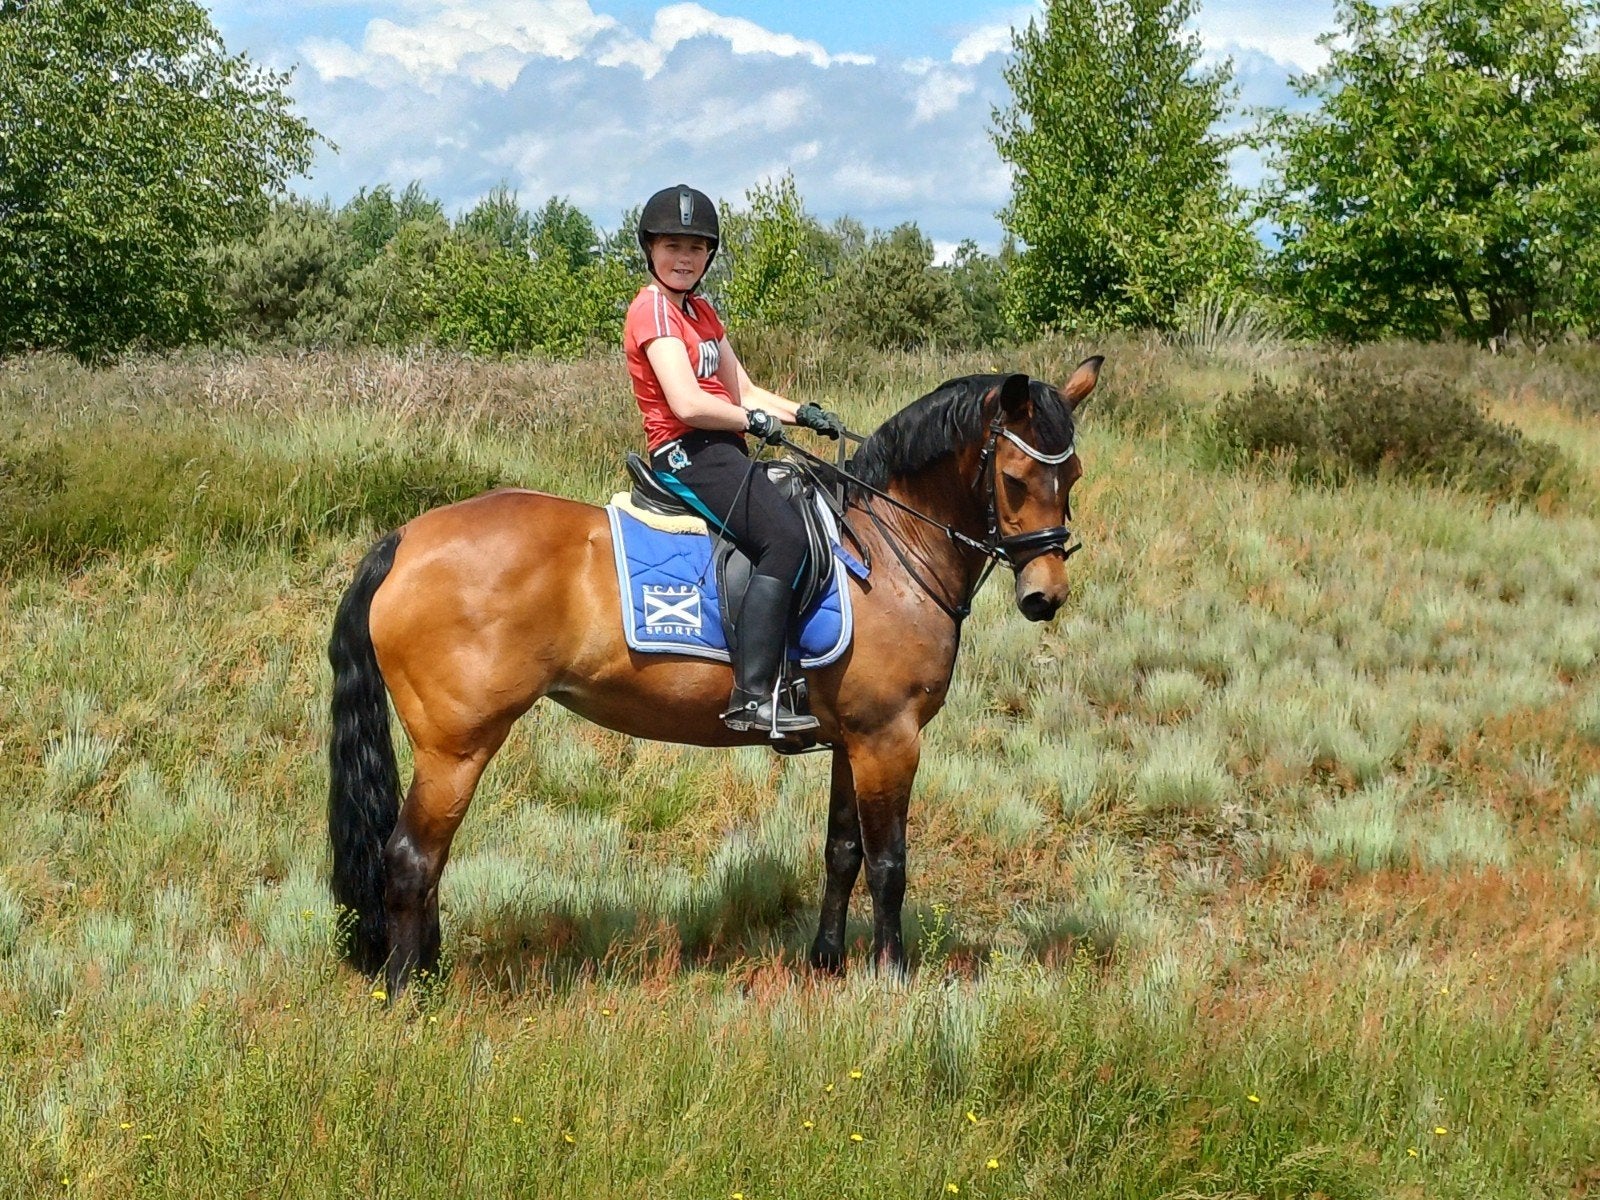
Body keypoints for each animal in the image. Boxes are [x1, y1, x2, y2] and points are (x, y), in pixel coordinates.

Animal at [328, 357, 1102, 995]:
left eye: (1074, 477)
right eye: (1014, 479)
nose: (1046, 595)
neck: (888, 553)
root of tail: (405, 540)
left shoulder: (853, 739)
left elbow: (842, 852)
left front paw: (827, 963)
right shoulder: (891, 738)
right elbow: (889, 863)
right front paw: (892, 978)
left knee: (427, 862)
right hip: (456, 746)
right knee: (411, 859)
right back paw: (406, 994)